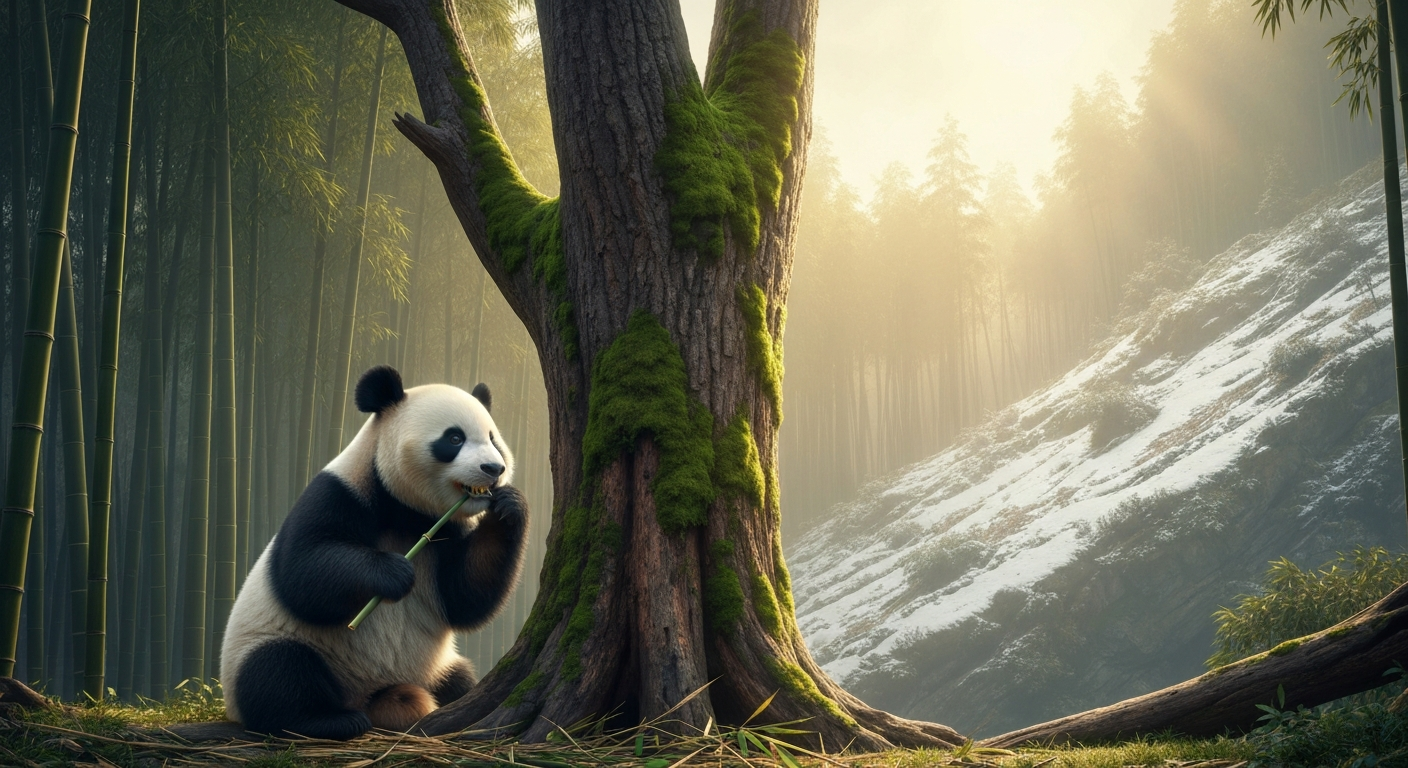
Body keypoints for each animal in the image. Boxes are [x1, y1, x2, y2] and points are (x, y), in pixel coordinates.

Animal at [220, 365, 528, 740]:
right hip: (273, 645)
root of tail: (372, 697)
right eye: (454, 439)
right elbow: (303, 572)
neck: (405, 511)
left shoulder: (447, 531)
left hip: (434, 666)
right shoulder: (340, 492)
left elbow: (465, 596)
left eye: (493, 439)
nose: (494, 469)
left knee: (459, 679)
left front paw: (509, 508)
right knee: (277, 672)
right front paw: (393, 573)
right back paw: (327, 720)